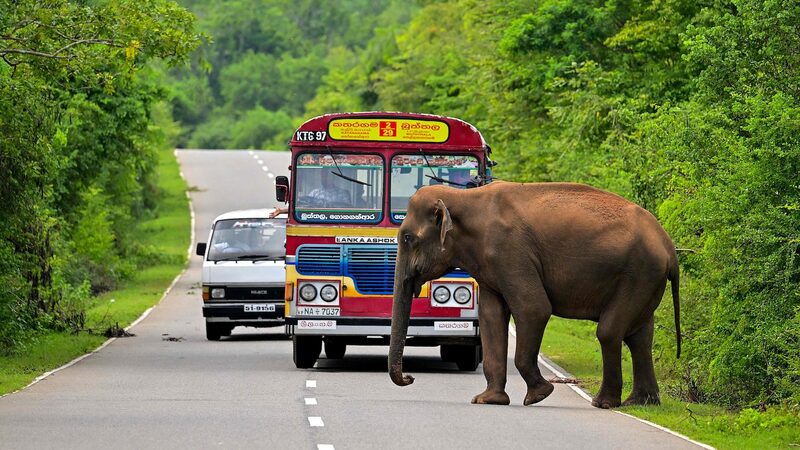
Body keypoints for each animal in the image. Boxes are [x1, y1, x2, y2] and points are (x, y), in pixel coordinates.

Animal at [388, 181, 680, 409]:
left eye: (408, 239)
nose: (410, 378)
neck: (463, 197)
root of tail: (668, 245)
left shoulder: (510, 252)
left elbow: (534, 308)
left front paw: (539, 395)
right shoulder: (491, 265)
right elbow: (491, 316)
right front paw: (488, 400)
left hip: (639, 274)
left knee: (609, 332)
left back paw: (604, 403)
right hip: (646, 281)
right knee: (640, 336)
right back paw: (641, 402)